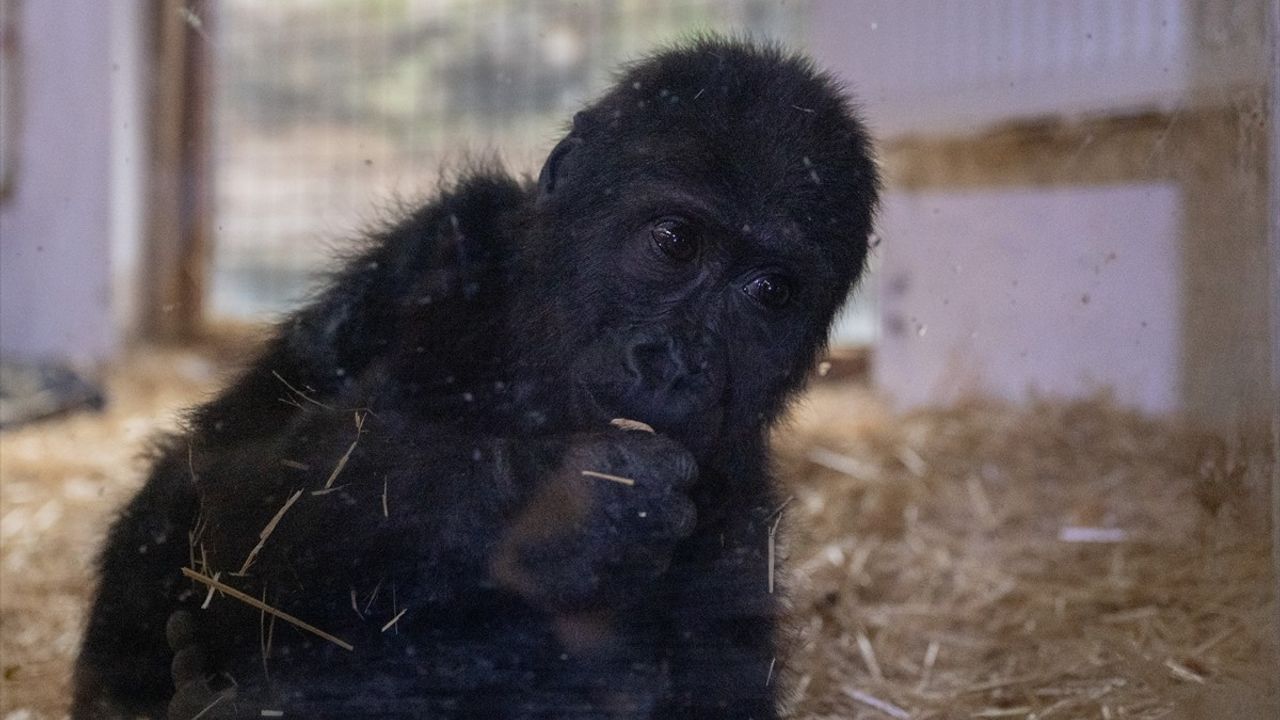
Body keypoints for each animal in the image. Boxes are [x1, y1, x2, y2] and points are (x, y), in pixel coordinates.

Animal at [70, 37, 880, 717]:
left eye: (769, 292)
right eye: (675, 242)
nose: (678, 360)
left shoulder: (741, 503)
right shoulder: (431, 245)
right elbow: (223, 487)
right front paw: (564, 506)